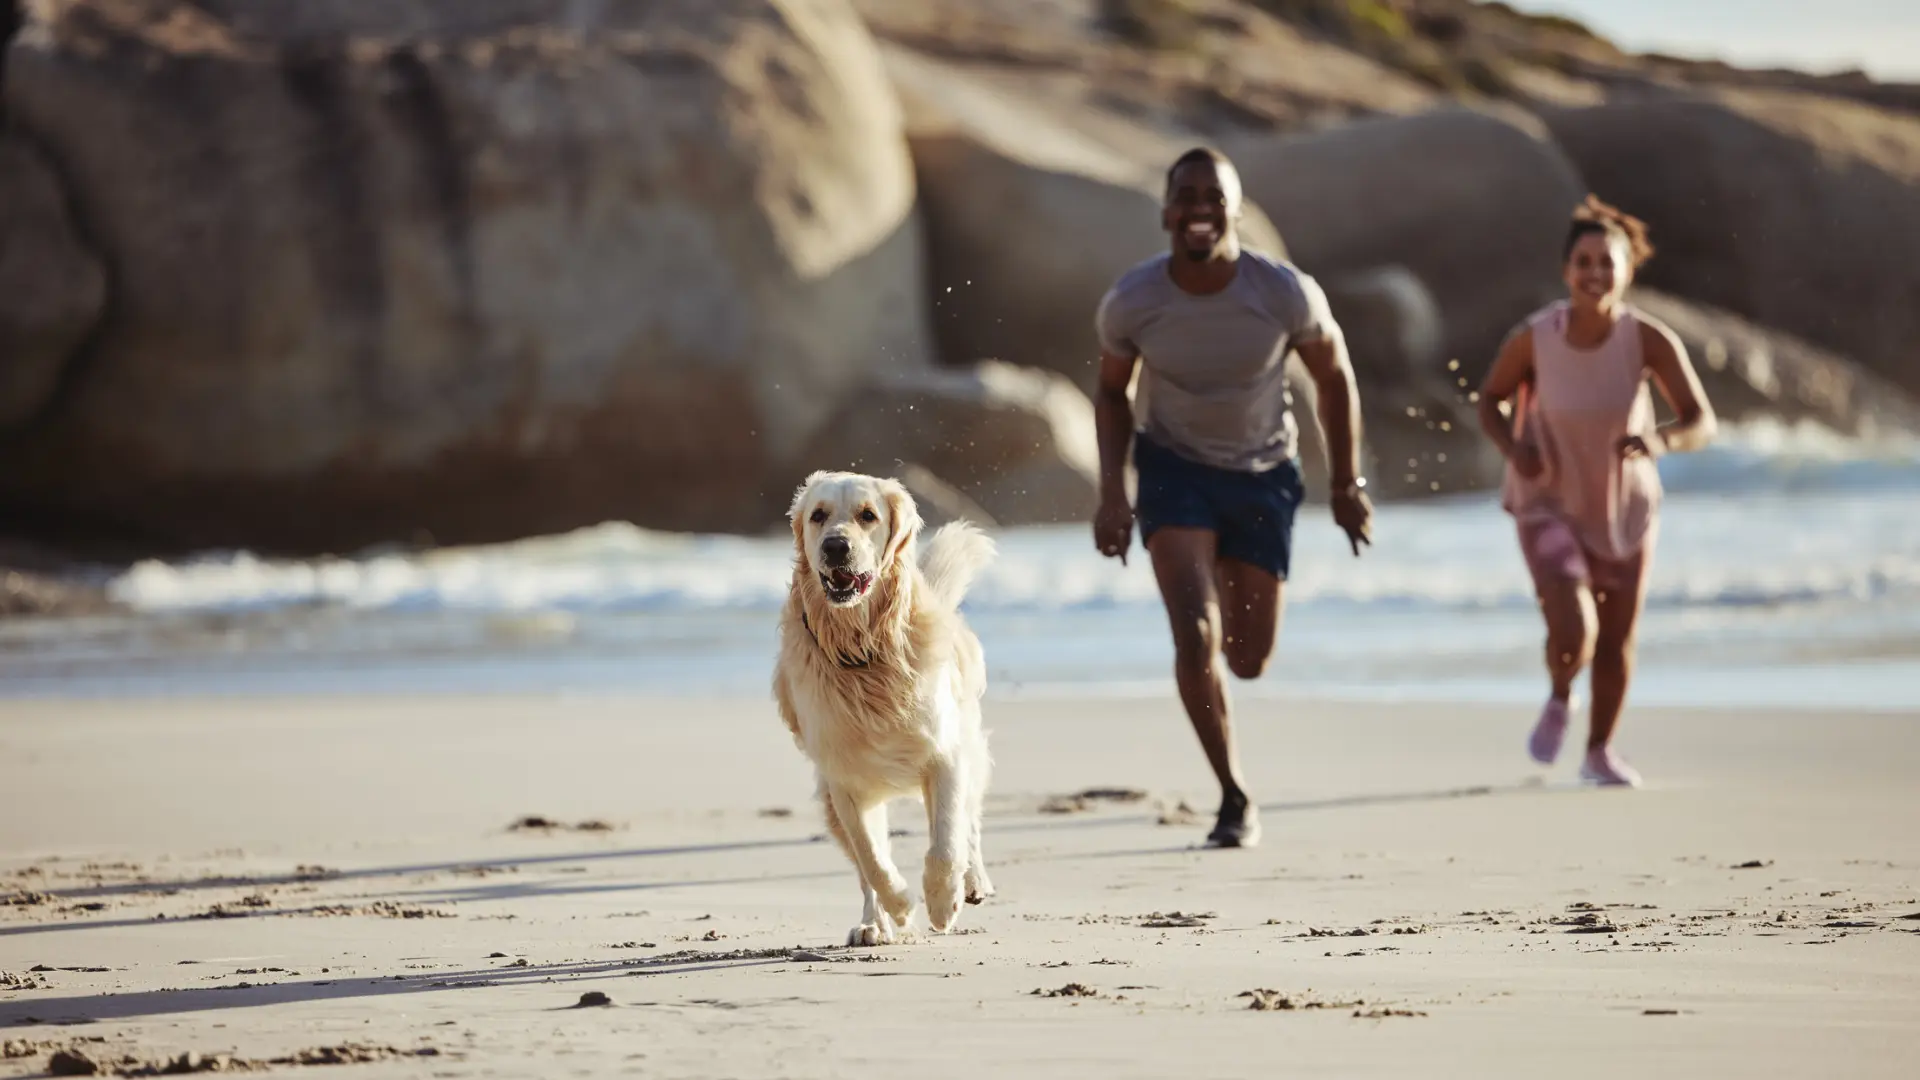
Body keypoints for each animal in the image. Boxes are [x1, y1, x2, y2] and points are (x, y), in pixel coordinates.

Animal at [771, 470, 998, 941]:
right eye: (818, 516)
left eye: (867, 515)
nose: (835, 546)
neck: (865, 651)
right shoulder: (842, 779)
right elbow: (872, 859)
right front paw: (899, 906)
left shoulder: (945, 754)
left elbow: (946, 842)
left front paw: (942, 902)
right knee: (863, 865)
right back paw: (871, 924)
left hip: (968, 746)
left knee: (968, 824)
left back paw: (973, 882)